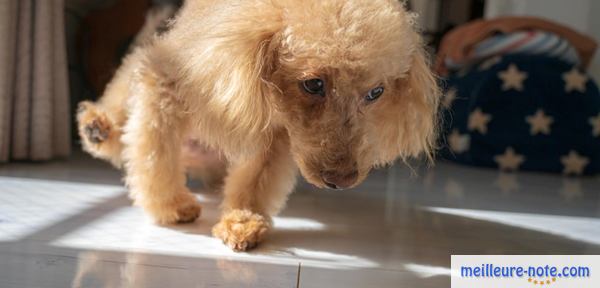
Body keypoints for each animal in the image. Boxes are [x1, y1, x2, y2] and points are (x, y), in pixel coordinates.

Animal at [76, 0, 440, 251]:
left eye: (376, 93)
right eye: (313, 84)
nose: (342, 180)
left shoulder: (276, 137)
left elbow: (254, 183)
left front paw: (242, 222)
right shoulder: (162, 90)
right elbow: (156, 159)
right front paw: (172, 207)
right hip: (137, 73)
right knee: (120, 104)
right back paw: (98, 128)